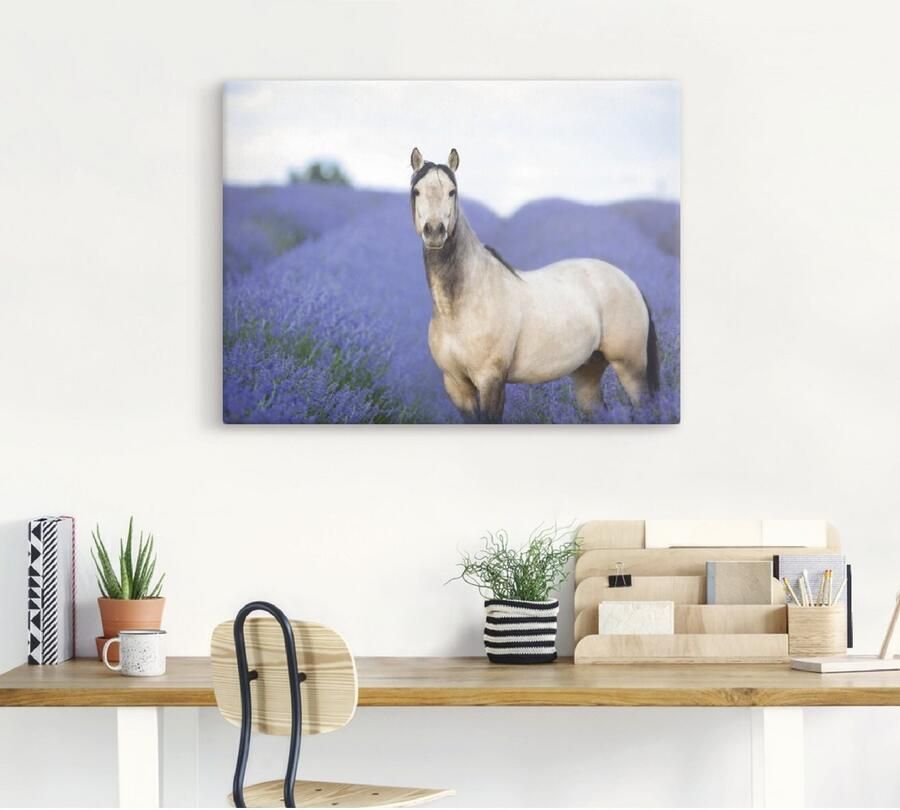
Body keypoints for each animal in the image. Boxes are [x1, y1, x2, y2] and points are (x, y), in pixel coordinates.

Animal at [409, 147, 659, 424]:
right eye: (417, 191)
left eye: (452, 192)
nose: (434, 231)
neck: (459, 307)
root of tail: (630, 283)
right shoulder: (456, 385)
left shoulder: (491, 380)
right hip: (588, 371)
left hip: (631, 367)